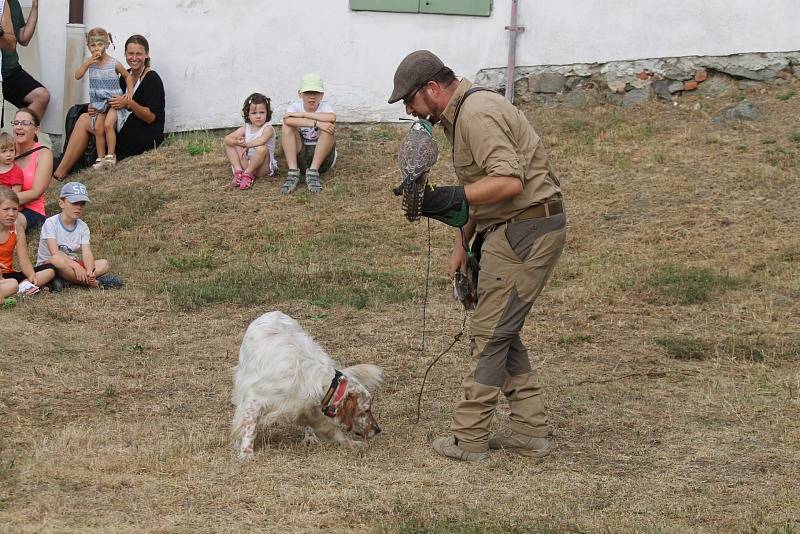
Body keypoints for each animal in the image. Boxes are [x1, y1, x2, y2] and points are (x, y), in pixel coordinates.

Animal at [230, 314, 382, 460]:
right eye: (366, 410)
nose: (378, 429)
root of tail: (271, 312)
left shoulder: (306, 407)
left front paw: (352, 443)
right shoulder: (254, 400)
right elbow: (249, 428)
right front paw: (246, 452)